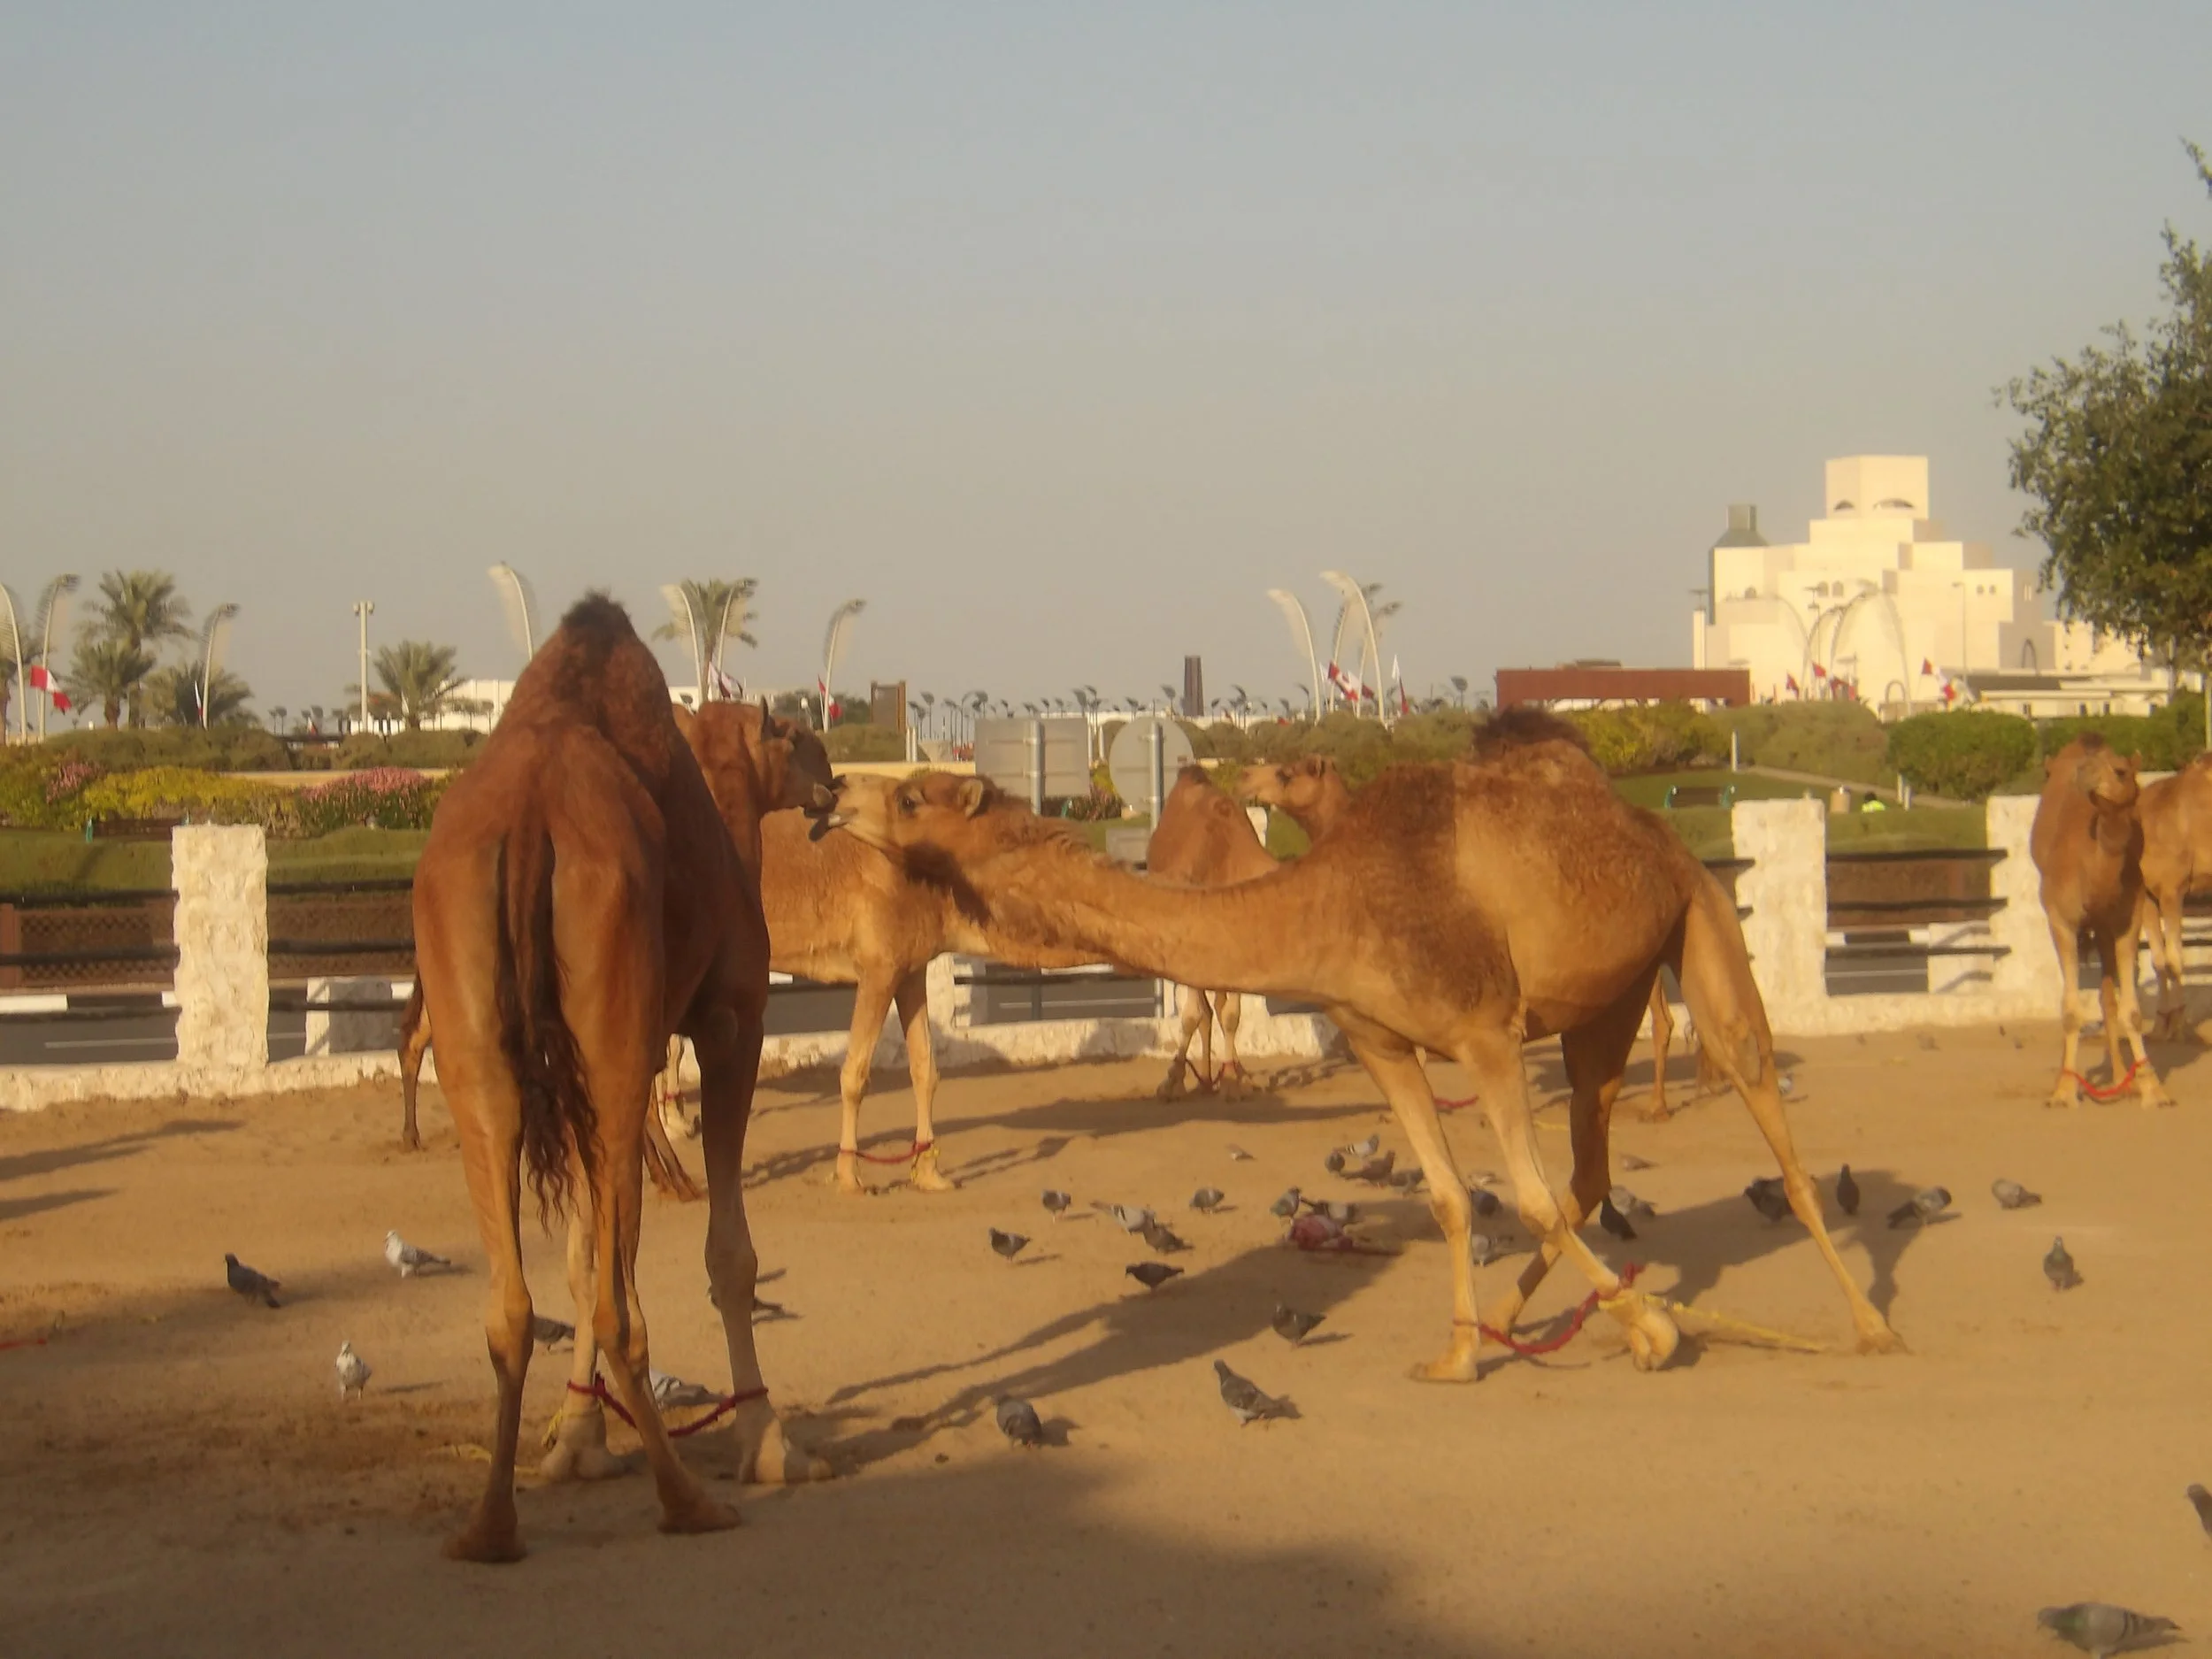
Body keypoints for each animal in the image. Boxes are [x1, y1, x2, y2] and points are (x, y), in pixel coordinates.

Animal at [411, 599, 832, 1563]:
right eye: (796, 736)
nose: (835, 783)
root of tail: (531, 820)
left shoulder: (600, 1064)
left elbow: (579, 1254)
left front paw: (576, 1441)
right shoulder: (729, 1020)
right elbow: (728, 1255)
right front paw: (770, 1444)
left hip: (485, 1043)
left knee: (515, 1296)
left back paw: (489, 1524)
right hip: (608, 1026)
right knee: (613, 1305)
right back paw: (686, 1498)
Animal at [1145, 766, 1277, 1101]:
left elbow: (1230, 1014)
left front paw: (1231, 1078)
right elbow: (1194, 1013)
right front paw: (1174, 1079)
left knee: (1215, 1008)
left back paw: (1222, 1075)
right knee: (1202, 1010)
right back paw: (1200, 1076)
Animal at [2029, 734, 2169, 1107]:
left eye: (2120, 770)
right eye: (2087, 768)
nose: (2084, 774)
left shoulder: (2126, 919)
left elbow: (2131, 1011)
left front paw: (2152, 1087)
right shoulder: (2061, 920)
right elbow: (2070, 1010)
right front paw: (2064, 1090)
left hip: (2105, 929)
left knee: (2108, 997)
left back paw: (2122, 1079)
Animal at [2133, 753, 2212, 1041]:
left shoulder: (2172, 892)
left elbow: (2176, 959)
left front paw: (2179, 1025)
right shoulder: (2147, 898)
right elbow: (2159, 961)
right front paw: (2159, 1026)